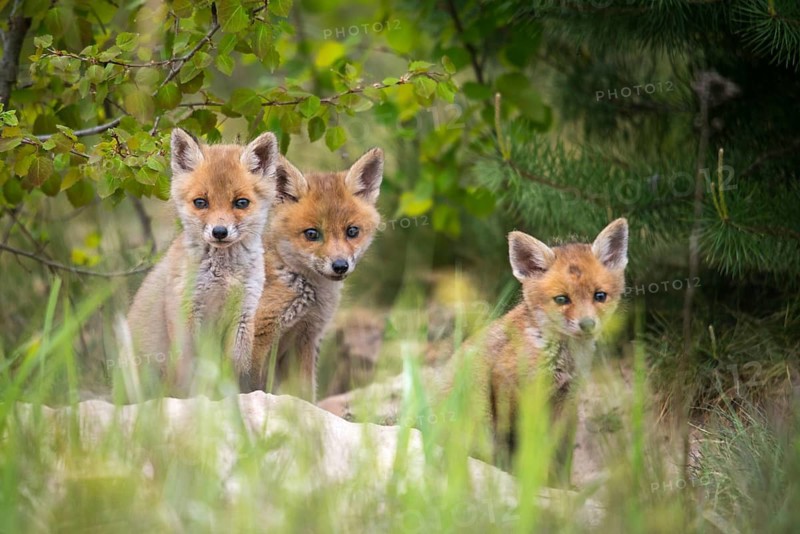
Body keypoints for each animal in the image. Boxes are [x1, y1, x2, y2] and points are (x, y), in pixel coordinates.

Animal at [126, 128, 279, 393]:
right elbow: (195, 370)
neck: (223, 276)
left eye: (241, 202)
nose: (219, 232)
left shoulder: (244, 313)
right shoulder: (188, 312)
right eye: (201, 202)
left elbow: (234, 369)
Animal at [243, 148, 384, 400]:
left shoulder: (306, 338)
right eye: (312, 234)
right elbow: (253, 387)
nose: (340, 265)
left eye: (352, 231)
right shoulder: (259, 333)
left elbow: (306, 395)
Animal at [450, 218, 628, 467]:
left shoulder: (564, 398)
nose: (587, 324)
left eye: (599, 296)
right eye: (562, 299)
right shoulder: (506, 383)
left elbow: (549, 451)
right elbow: (515, 442)